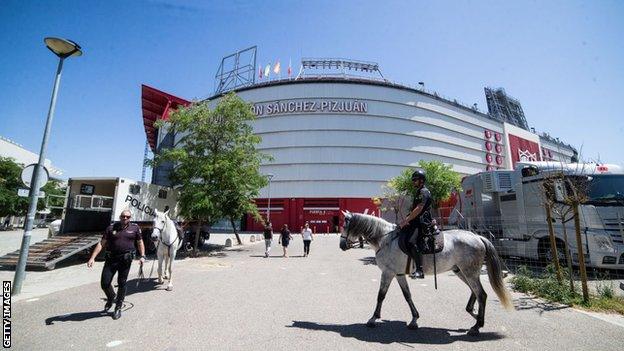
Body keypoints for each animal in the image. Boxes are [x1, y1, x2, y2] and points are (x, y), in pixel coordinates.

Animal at [342, 212, 512, 336]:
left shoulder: (388, 273)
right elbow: (407, 296)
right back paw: (475, 316)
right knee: (474, 291)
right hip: (461, 271)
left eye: (345, 226)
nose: (342, 245)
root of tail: (477, 237)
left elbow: (380, 296)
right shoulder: (399, 274)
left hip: (469, 272)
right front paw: (414, 320)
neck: (386, 239)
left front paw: (372, 319)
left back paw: (476, 326)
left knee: (481, 294)